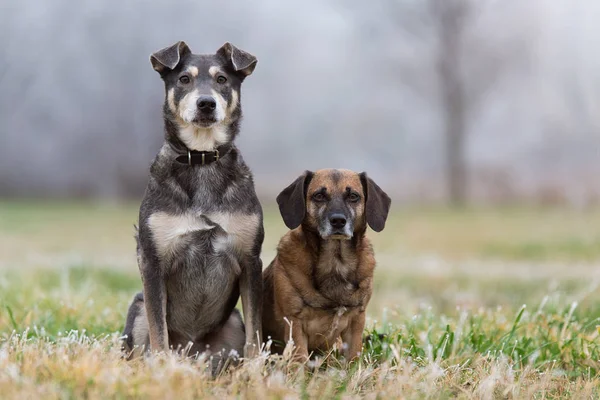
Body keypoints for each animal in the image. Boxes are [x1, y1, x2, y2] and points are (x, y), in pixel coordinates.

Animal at [122, 41, 262, 372]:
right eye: (184, 79)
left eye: (222, 79)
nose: (206, 104)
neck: (201, 158)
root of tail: (192, 351)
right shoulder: (153, 262)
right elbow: (158, 333)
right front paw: (162, 371)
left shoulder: (251, 261)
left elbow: (256, 334)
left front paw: (257, 373)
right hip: (137, 311)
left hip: (232, 323)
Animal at [262, 167, 392, 360]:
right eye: (319, 196)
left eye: (353, 196)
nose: (338, 221)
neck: (335, 261)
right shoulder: (295, 323)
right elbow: (299, 359)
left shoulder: (356, 321)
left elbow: (353, 357)